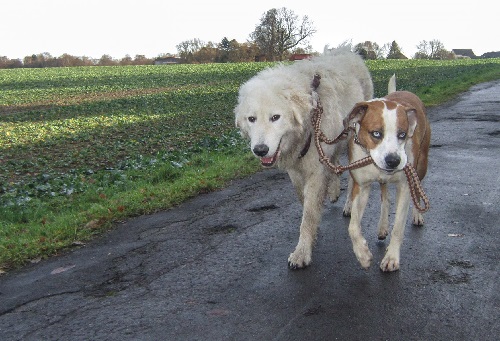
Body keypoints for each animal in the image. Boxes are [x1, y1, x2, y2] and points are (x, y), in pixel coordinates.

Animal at [233, 45, 372, 268]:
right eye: (251, 119)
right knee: (334, 163)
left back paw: (349, 205)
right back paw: (334, 190)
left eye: (275, 117)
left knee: (351, 177)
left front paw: (302, 251)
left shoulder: (315, 170)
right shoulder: (296, 170)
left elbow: (308, 213)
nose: (260, 150)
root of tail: (347, 51)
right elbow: (303, 200)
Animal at [344, 75, 430, 270]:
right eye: (376, 133)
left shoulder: (404, 186)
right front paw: (363, 254)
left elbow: (398, 227)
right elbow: (352, 226)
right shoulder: (362, 187)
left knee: (418, 188)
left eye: (402, 134)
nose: (393, 161)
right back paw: (382, 226)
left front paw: (391, 258)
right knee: (385, 197)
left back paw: (417, 214)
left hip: (421, 164)